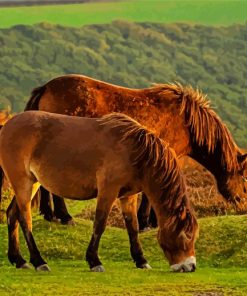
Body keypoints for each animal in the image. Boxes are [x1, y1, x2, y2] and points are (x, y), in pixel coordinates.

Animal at [0, 111, 198, 272]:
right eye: (184, 235)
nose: (190, 266)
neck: (134, 151)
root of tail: (6, 126)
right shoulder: (108, 191)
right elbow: (100, 224)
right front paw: (94, 261)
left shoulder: (128, 196)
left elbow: (132, 227)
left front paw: (141, 260)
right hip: (23, 183)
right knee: (25, 219)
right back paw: (38, 261)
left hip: (32, 184)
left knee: (12, 214)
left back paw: (19, 260)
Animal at [25, 74, 247, 229]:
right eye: (245, 179)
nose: (243, 208)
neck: (185, 122)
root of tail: (46, 88)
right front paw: (148, 222)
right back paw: (64, 216)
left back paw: (50, 214)